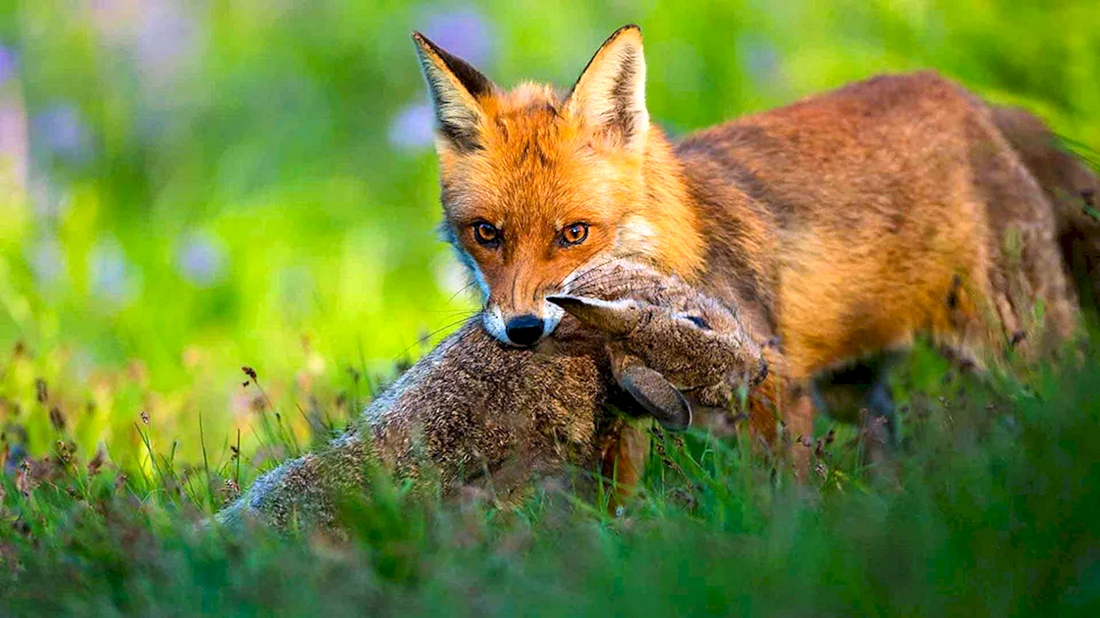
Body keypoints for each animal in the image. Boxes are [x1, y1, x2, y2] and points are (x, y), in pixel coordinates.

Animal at [411, 25, 1099, 470]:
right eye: (487, 233)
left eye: (574, 234)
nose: (523, 330)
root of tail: (972, 98)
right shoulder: (625, 418)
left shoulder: (775, 384)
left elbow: (780, 495)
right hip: (853, 385)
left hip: (1018, 348)